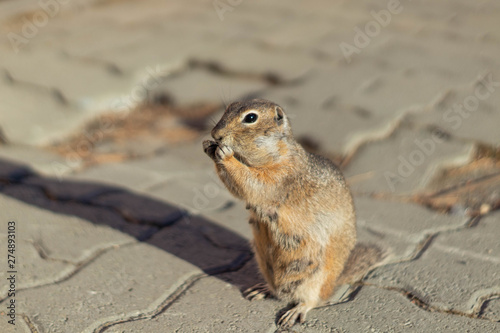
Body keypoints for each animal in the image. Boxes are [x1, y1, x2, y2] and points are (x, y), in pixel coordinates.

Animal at [201, 98, 374, 326]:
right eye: (229, 107)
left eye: (250, 117)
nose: (216, 134)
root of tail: (333, 284)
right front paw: (209, 147)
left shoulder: (281, 176)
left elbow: (253, 184)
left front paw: (225, 155)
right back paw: (262, 289)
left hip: (314, 279)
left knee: (312, 300)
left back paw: (295, 312)